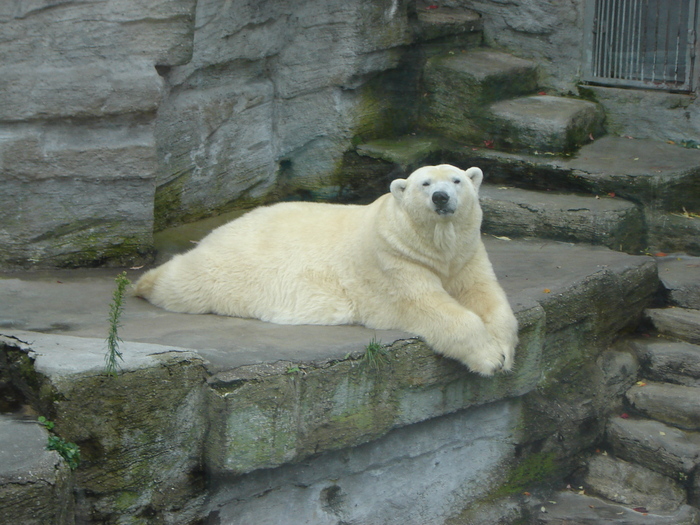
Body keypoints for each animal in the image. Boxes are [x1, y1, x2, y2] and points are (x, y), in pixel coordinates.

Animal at [138, 164, 520, 372]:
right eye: (425, 183)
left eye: (457, 180)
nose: (441, 198)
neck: (436, 247)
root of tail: (220, 230)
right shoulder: (393, 259)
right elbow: (429, 305)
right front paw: (489, 357)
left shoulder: (466, 255)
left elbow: (486, 296)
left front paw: (505, 350)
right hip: (231, 266)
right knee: (190, 281)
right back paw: (146, 282)